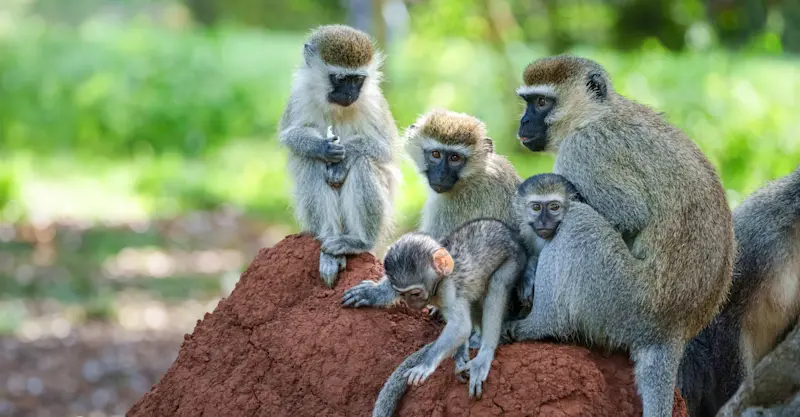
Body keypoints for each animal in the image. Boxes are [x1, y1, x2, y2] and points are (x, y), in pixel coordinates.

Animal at [278, 24, 401, 287]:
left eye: (357, 80)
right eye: (341, 78)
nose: (350, 94)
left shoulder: (375, 102)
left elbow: (387, 149)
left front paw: (345, 158)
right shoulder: (298, 96)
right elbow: (289, 136)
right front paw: (323, 148)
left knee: (364, 163)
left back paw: (358, 242)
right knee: (310, 163)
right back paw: (329, 244)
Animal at [342, 218, 526, 417]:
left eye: (414, 293)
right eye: (402, 293)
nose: (410, 304)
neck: (436, 287)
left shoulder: (448, 289)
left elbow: (460, 326)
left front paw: (426, 364)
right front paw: (374, 293)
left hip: (514, 260)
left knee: (497, 285)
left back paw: (485, 351)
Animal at [502, 55, 735, 417]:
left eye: (542, 102)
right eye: (527, 102)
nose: (524, 121)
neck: (595, 114)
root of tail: (674, 328)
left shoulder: (584, 151)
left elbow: (628, 215)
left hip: (622, 300)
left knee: (578, 222)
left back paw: (541, 325)